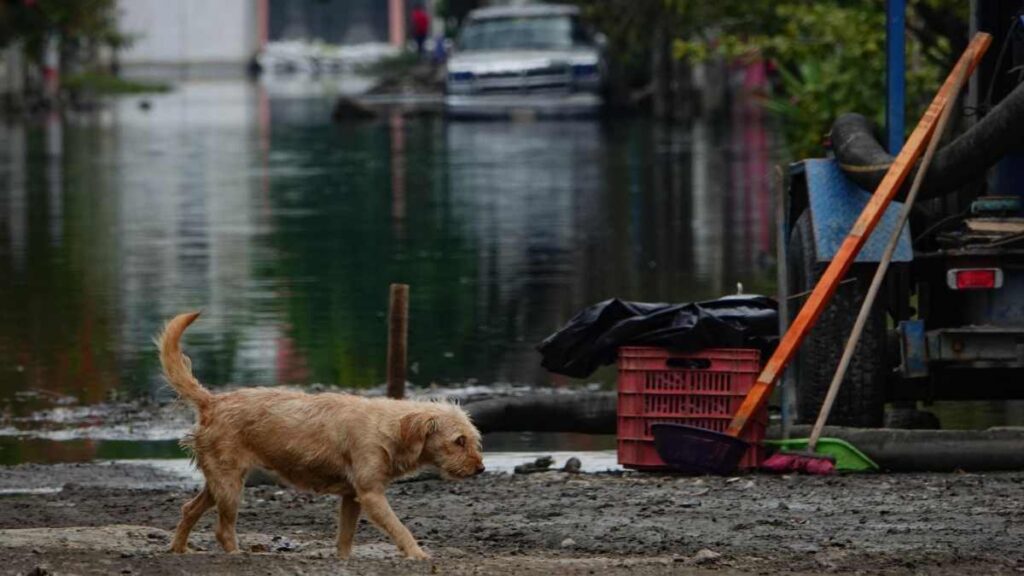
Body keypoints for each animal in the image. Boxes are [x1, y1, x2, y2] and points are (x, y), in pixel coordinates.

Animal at [156, 311, 483, 557]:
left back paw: (179, 548)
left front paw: (343, 559)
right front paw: (418, 554)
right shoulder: (371, 494)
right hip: (230, 485)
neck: (389, 428)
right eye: (459, 441)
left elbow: (345, 538)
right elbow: (399, 528)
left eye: (474, 440)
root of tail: (213, 401)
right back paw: (235, 554)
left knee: (189, 509)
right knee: (222, 529)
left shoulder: (352, 497)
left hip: (220, 482)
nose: (480, 468)